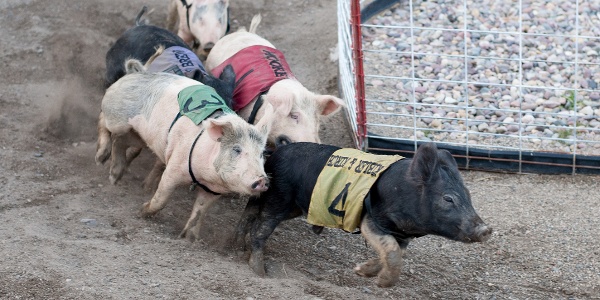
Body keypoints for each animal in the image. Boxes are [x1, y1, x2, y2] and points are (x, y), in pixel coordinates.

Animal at [232, 143, 490, 288]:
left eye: (468, 195)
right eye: (448, 199)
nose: (486, 229)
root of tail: (274, 154)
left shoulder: (402, 235)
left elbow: (393, 253)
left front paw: (361, 271)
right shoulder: (372, 220)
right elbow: (392, 251)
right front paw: (382, 284)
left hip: (291, 205)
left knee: (250, 212)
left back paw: (236, 246)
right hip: (279, 197)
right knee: (260, 228)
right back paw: (259, 272)